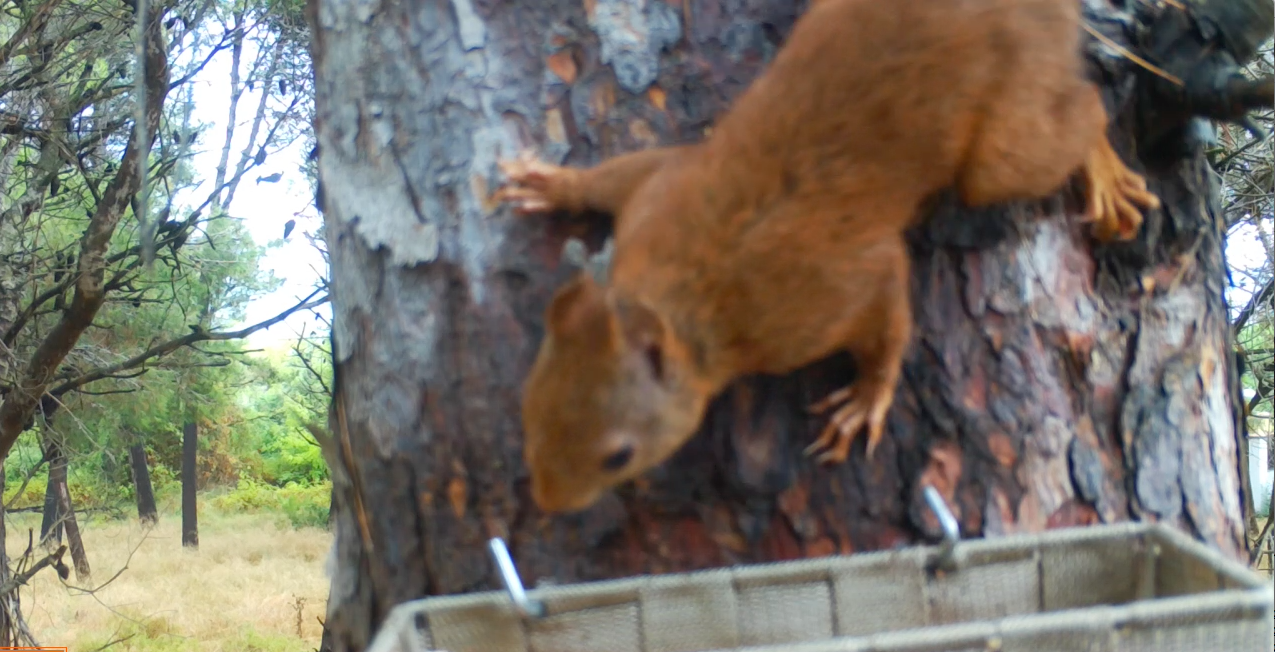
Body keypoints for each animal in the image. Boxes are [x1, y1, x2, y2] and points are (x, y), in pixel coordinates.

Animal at [492, 0, 1162, 515]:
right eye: (527, 409)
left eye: (619, 455)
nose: (548, 503)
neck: (678, 288)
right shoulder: (659, 190)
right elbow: (619, 177)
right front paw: (554, 186)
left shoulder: (821, 292)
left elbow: (888, 313)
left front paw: (865, 400)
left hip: (1002, 151)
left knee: (1082, 111)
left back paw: (1105, 173)